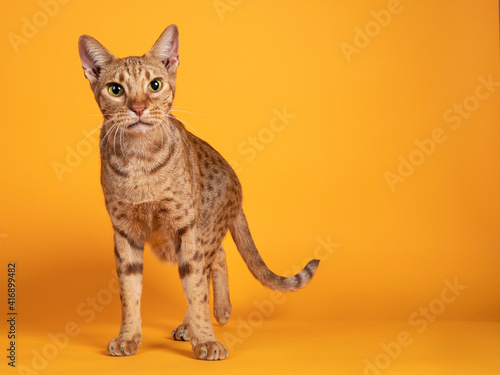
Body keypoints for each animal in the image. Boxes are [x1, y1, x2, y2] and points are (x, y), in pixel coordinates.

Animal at [78, 24, 320, 362]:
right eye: (116, 90)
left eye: (154, 85)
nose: (138, 108)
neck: (140, 162)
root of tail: (237, 185)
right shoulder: (124, 230)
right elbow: (129, 291)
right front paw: (129, 337)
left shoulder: (185, 226)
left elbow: (195, 289)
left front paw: (205, 339)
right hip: (171, 241)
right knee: (218, 256)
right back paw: (218, 311)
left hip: (195, 231)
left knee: (208, 265)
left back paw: (202, 320)